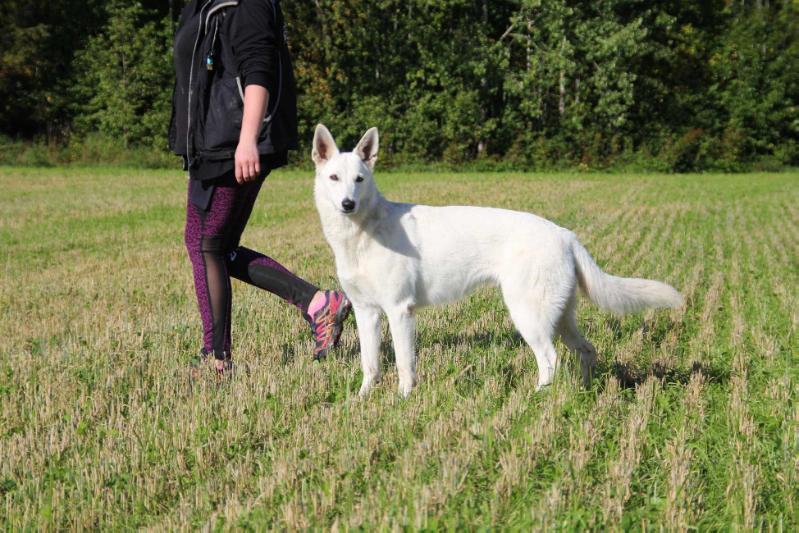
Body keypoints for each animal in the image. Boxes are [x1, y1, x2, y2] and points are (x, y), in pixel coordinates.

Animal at [310, 124, 680, 396]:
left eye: (359, 180)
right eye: (334, 178)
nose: (347, 204)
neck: (362, 233)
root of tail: (565, 235)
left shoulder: (400, 311)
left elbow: (404, 364)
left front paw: (403, 399)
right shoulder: (366, 312)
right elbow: (370, 364)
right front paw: (362, 399)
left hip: (528, 316)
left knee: (550, 359)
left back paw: (536, 399)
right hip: (560, 317)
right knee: (585, 351)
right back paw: (582, 394)